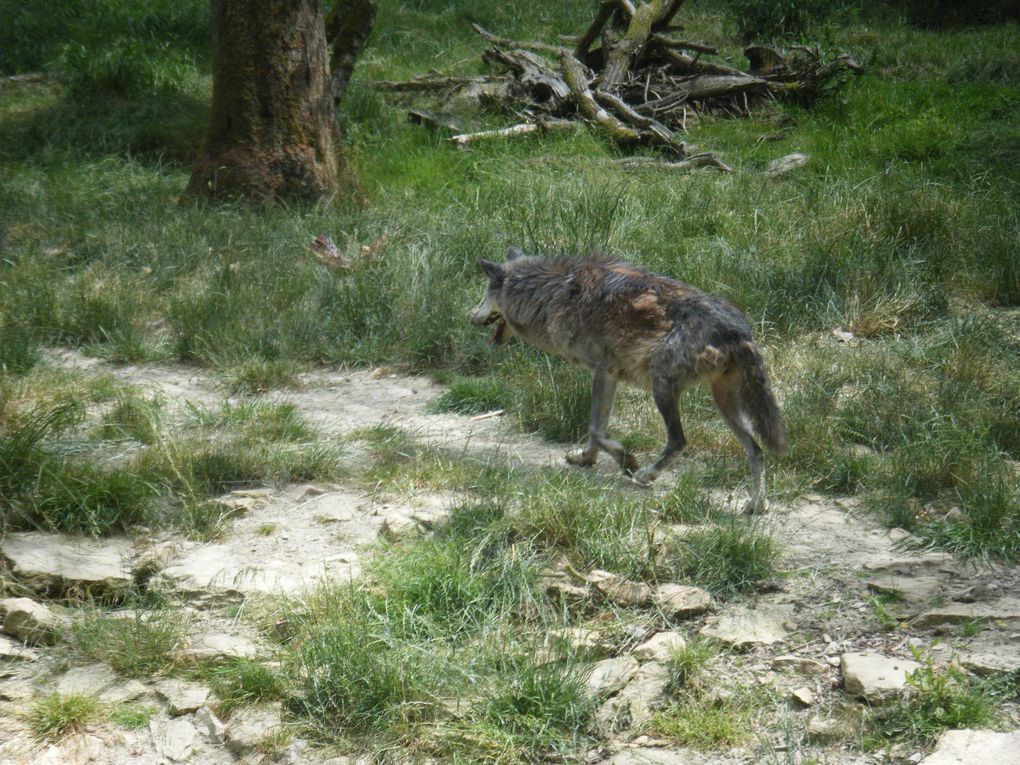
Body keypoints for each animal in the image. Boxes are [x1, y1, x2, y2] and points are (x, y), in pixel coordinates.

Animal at [469, 245, 787, 512]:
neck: (552, 293)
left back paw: (647, 475)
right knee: (756, 451)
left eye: (484, 295)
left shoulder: (603, 370)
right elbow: (596, 431)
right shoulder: (608, 376)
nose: (470, 316)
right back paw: (756, 505)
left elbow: (596, 429)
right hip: (723, 402)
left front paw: (628, 461)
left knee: (679, 440)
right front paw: (586, 459)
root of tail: (738, 330)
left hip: (662, 387)